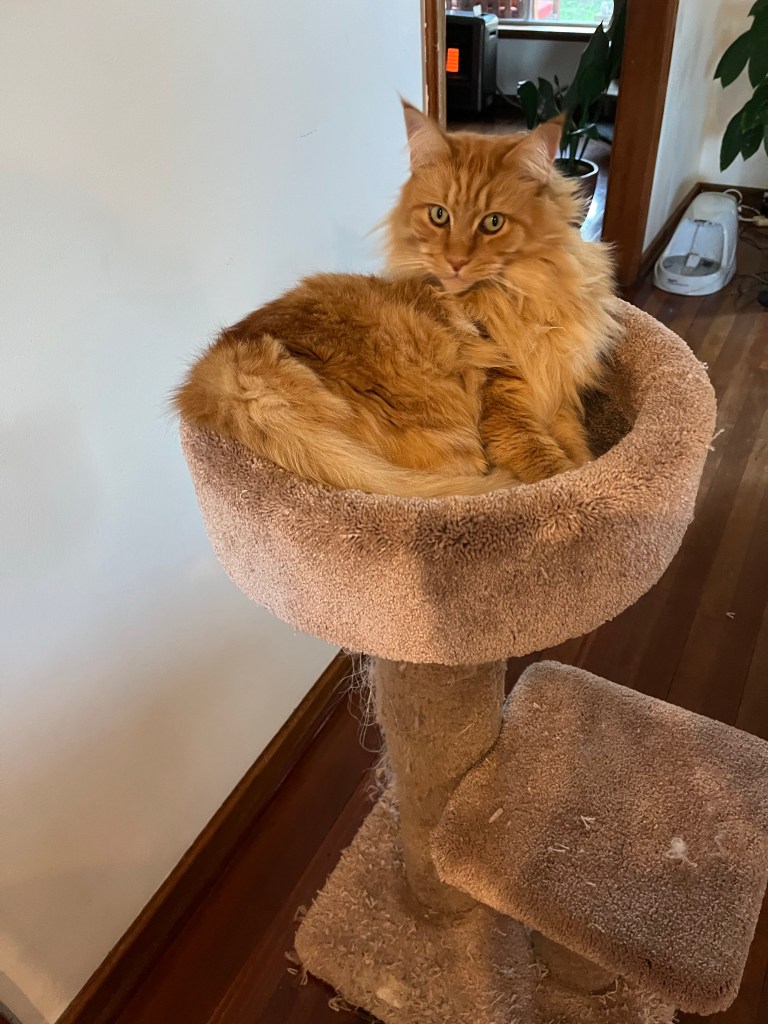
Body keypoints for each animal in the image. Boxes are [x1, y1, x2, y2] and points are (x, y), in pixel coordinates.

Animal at [175, 102, 620, 496]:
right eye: (439, 216)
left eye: (493, 223)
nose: (456, 261)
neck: (524, 296)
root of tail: (224, 362)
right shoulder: (507, 410)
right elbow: (557, 470)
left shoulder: (561, 399)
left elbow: (581, 451)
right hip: (450, 437)